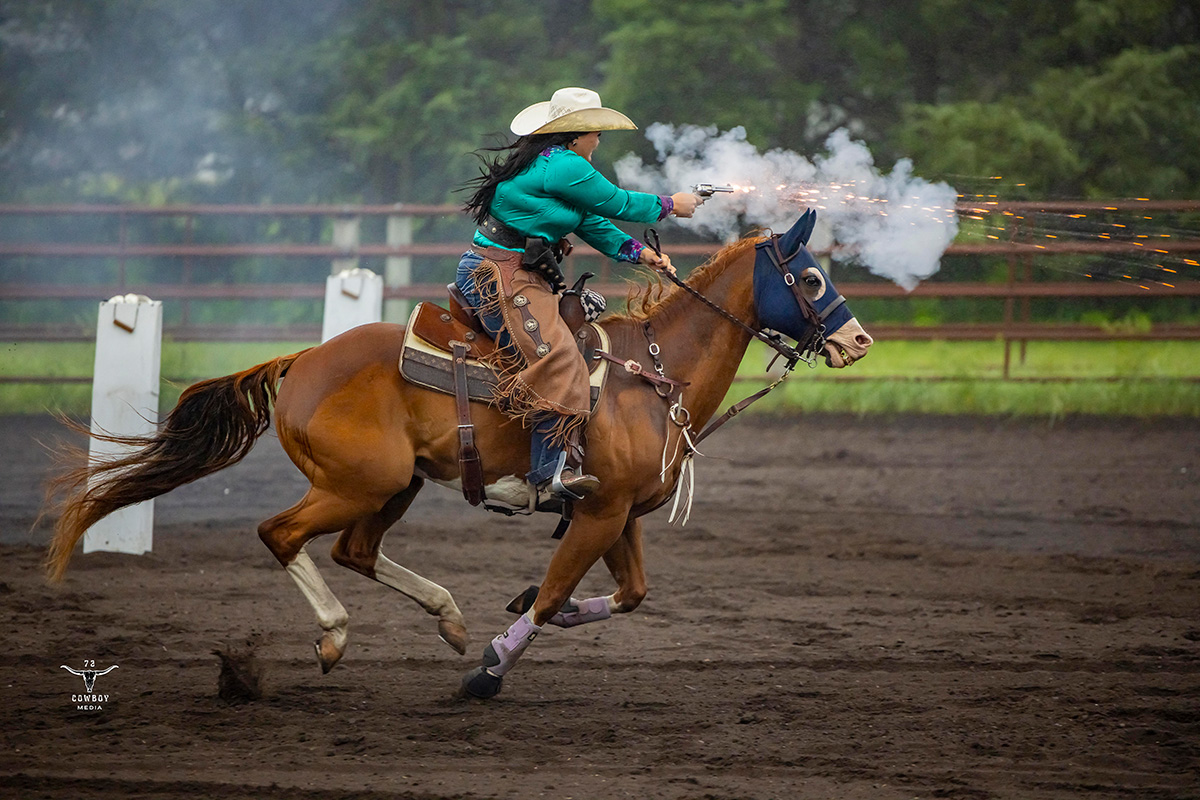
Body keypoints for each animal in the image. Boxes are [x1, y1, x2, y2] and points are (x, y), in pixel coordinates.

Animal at [45, 209, 873, 699]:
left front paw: (515, 619)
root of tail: (303, 360)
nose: (859, 340)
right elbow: (552, 594)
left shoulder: (621, 513)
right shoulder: (598, 511)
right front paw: (491, 671)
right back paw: (334, 637)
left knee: (353, 549)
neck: (649, 372)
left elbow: (627, 595)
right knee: (283, 534)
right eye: (808, 277)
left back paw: (445, 617)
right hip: (358, 483)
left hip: (396, 486)